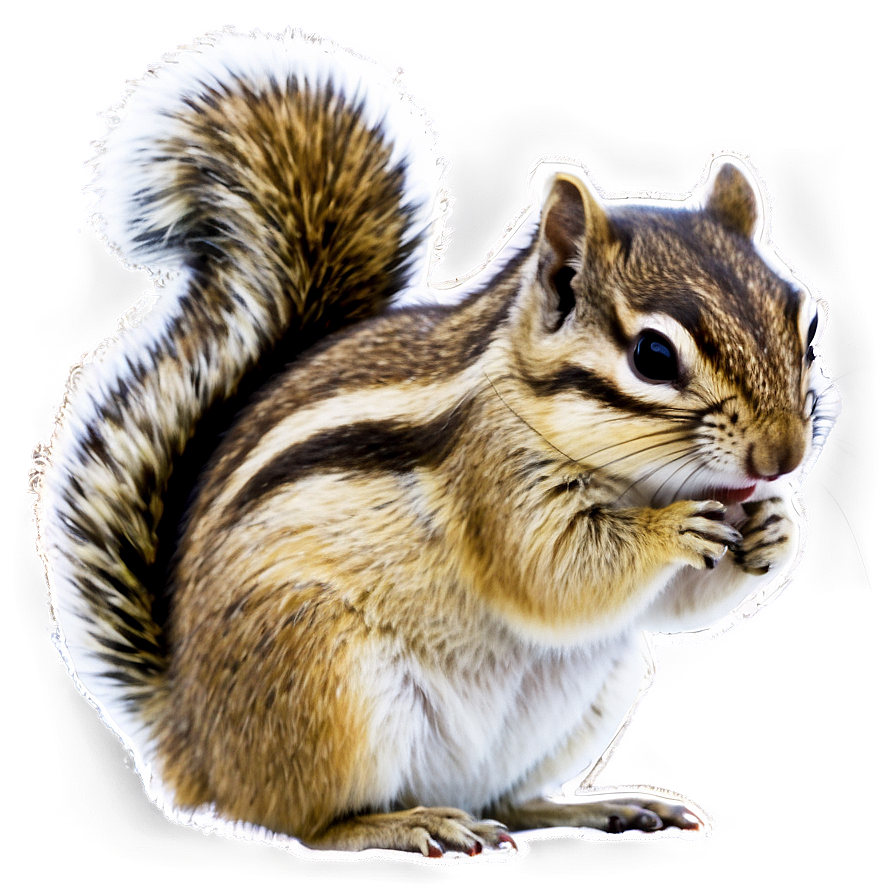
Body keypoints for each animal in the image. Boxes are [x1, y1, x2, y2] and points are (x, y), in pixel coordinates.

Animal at [33, 25, 841, 862]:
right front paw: (670, 530)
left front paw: (777, 525)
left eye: (807, 324)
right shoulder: (492, 480)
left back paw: (593, 806)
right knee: (305, 824)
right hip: (325, 675)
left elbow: (672, 604)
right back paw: (405, 822)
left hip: (583, 699)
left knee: (506, 800)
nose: (783, 459)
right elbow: (555, 574)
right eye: (652, 355)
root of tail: (195, 741)